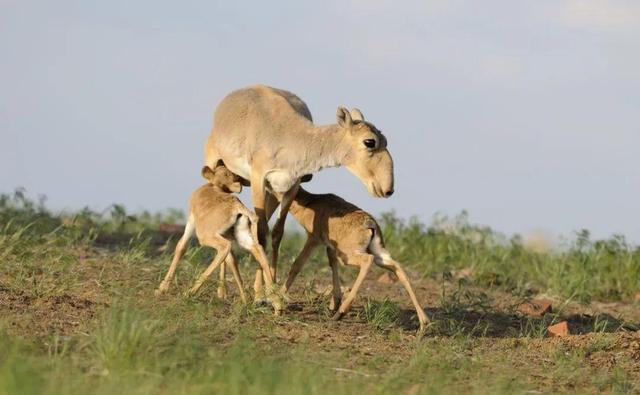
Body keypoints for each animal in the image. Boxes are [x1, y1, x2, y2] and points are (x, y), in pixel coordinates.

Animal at [205, 85, 396, 286]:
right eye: (369, 142)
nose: (388, 189)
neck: (290, 137)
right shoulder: (258, 180)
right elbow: (261, 234)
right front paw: (266, 289)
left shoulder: (290, 186)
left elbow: (277, 233)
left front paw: (268, 286)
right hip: (214, 167)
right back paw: (222, 289)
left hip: (271, 191)